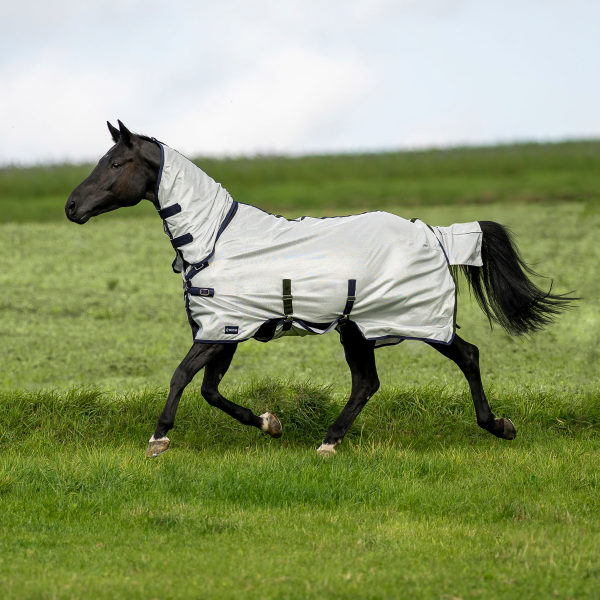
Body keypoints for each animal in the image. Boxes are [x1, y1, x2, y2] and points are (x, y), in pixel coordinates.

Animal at [63, 123, 576, 460]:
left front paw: (158, 439)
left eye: (115, 162)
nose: (71, 207)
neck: (213, 240)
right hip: (358, 329)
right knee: (367, 383)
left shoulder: (220, 329)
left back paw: (499, 426)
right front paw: (270, 424)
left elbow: (181, 377)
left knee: (466, 355)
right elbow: (209, 390)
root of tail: (434, 232)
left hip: (416, 322)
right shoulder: (226, 331)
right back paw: (328, 442)